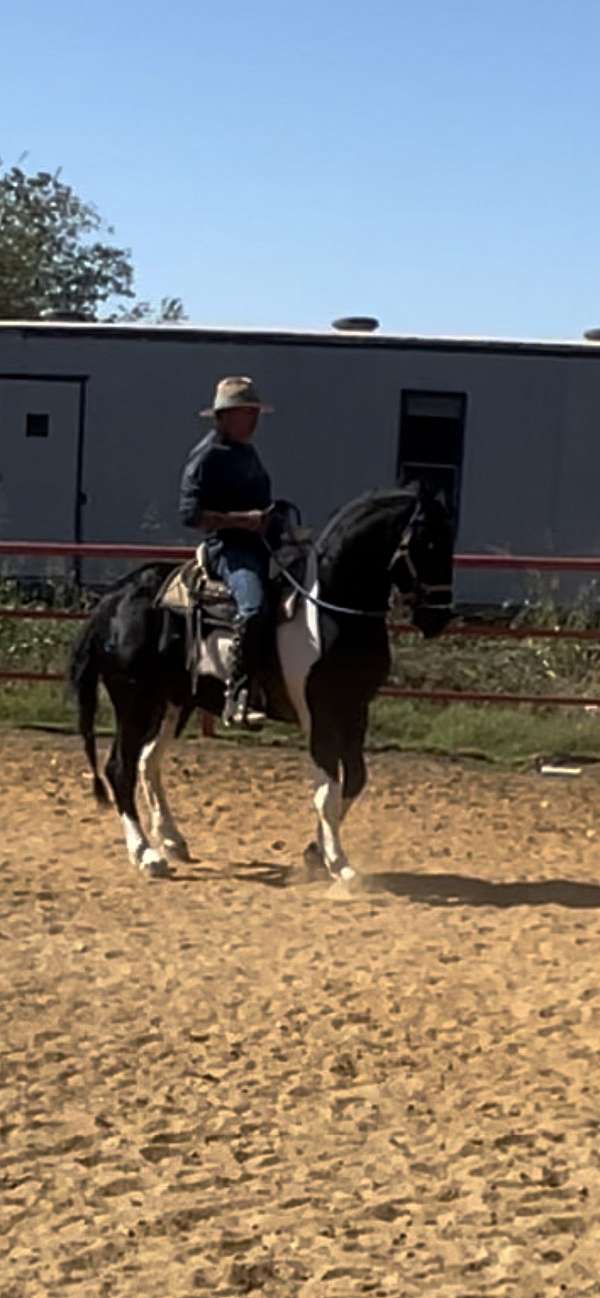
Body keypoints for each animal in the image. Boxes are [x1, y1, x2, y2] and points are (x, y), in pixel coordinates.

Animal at [70, 488, 451, 882]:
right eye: (428, 542)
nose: (438, 618)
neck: (329, 607)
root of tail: (112, 600)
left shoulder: (355, 711)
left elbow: (354, 781)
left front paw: (316, 853)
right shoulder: (320, 715)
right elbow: (326, 791)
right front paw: (340, 865)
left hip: (173, 703)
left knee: (148, 762)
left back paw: (172, 840)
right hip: (134, 702)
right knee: (120, 768)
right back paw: (146, 854)